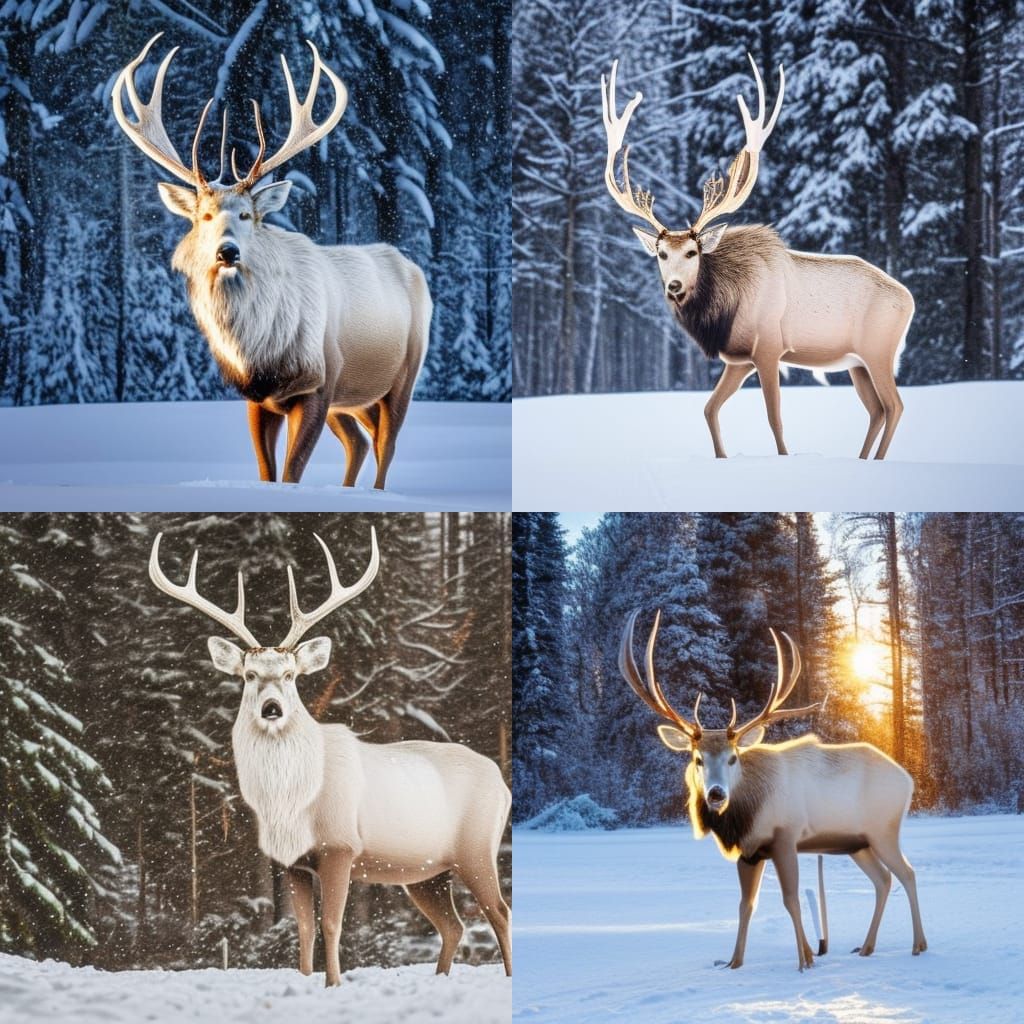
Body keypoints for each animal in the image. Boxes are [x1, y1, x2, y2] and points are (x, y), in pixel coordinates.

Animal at [112, 35, 431, 489]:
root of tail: (413, 268)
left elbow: (291, 473)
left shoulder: (319, 381)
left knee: (385, 445)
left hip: (402, 374)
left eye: (247, 214)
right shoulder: (257, 397)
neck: (261, 353)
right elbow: (267, 472)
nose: (227, 251)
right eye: (204, 215)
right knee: (359, 440)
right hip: (351, 398)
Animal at [148, 528, 511, 986]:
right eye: (249, 675)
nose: (271, 708)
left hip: (477, 849)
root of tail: (503, 784)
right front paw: (306, 981)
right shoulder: (291, 863)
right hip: (426, 871)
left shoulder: (341, 845)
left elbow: (331, 924)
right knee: (453, 925)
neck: (290, 803)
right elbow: (303, 928)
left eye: (291, 675)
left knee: (499, 913)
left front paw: (334, 983)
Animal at [601, 57, 914, 461]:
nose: (674, 285)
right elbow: (709, 408)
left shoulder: (768, 347)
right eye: (661, 253)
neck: (723, 312)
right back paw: (862, 460)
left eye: (692, 251)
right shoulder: (738, 359)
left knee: (894, 405)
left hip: (879, 350)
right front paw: (722, 457)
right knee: (876, 409)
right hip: (855, 362)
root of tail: (909, 299)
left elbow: (774, 417)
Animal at [619, 609, 927, 971]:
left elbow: (790, 899)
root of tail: (908, 780)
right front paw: (734, 962)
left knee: (907, 873)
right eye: (697, 758)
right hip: (856, 843)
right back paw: (867, 947)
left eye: (733, 757)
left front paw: (805, 961)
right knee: (883, 880)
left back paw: (918, 944)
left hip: (883, 830)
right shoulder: (749, 852)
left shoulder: (785, 836)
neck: (745, 813)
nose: (716, 794)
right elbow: (745, 905)